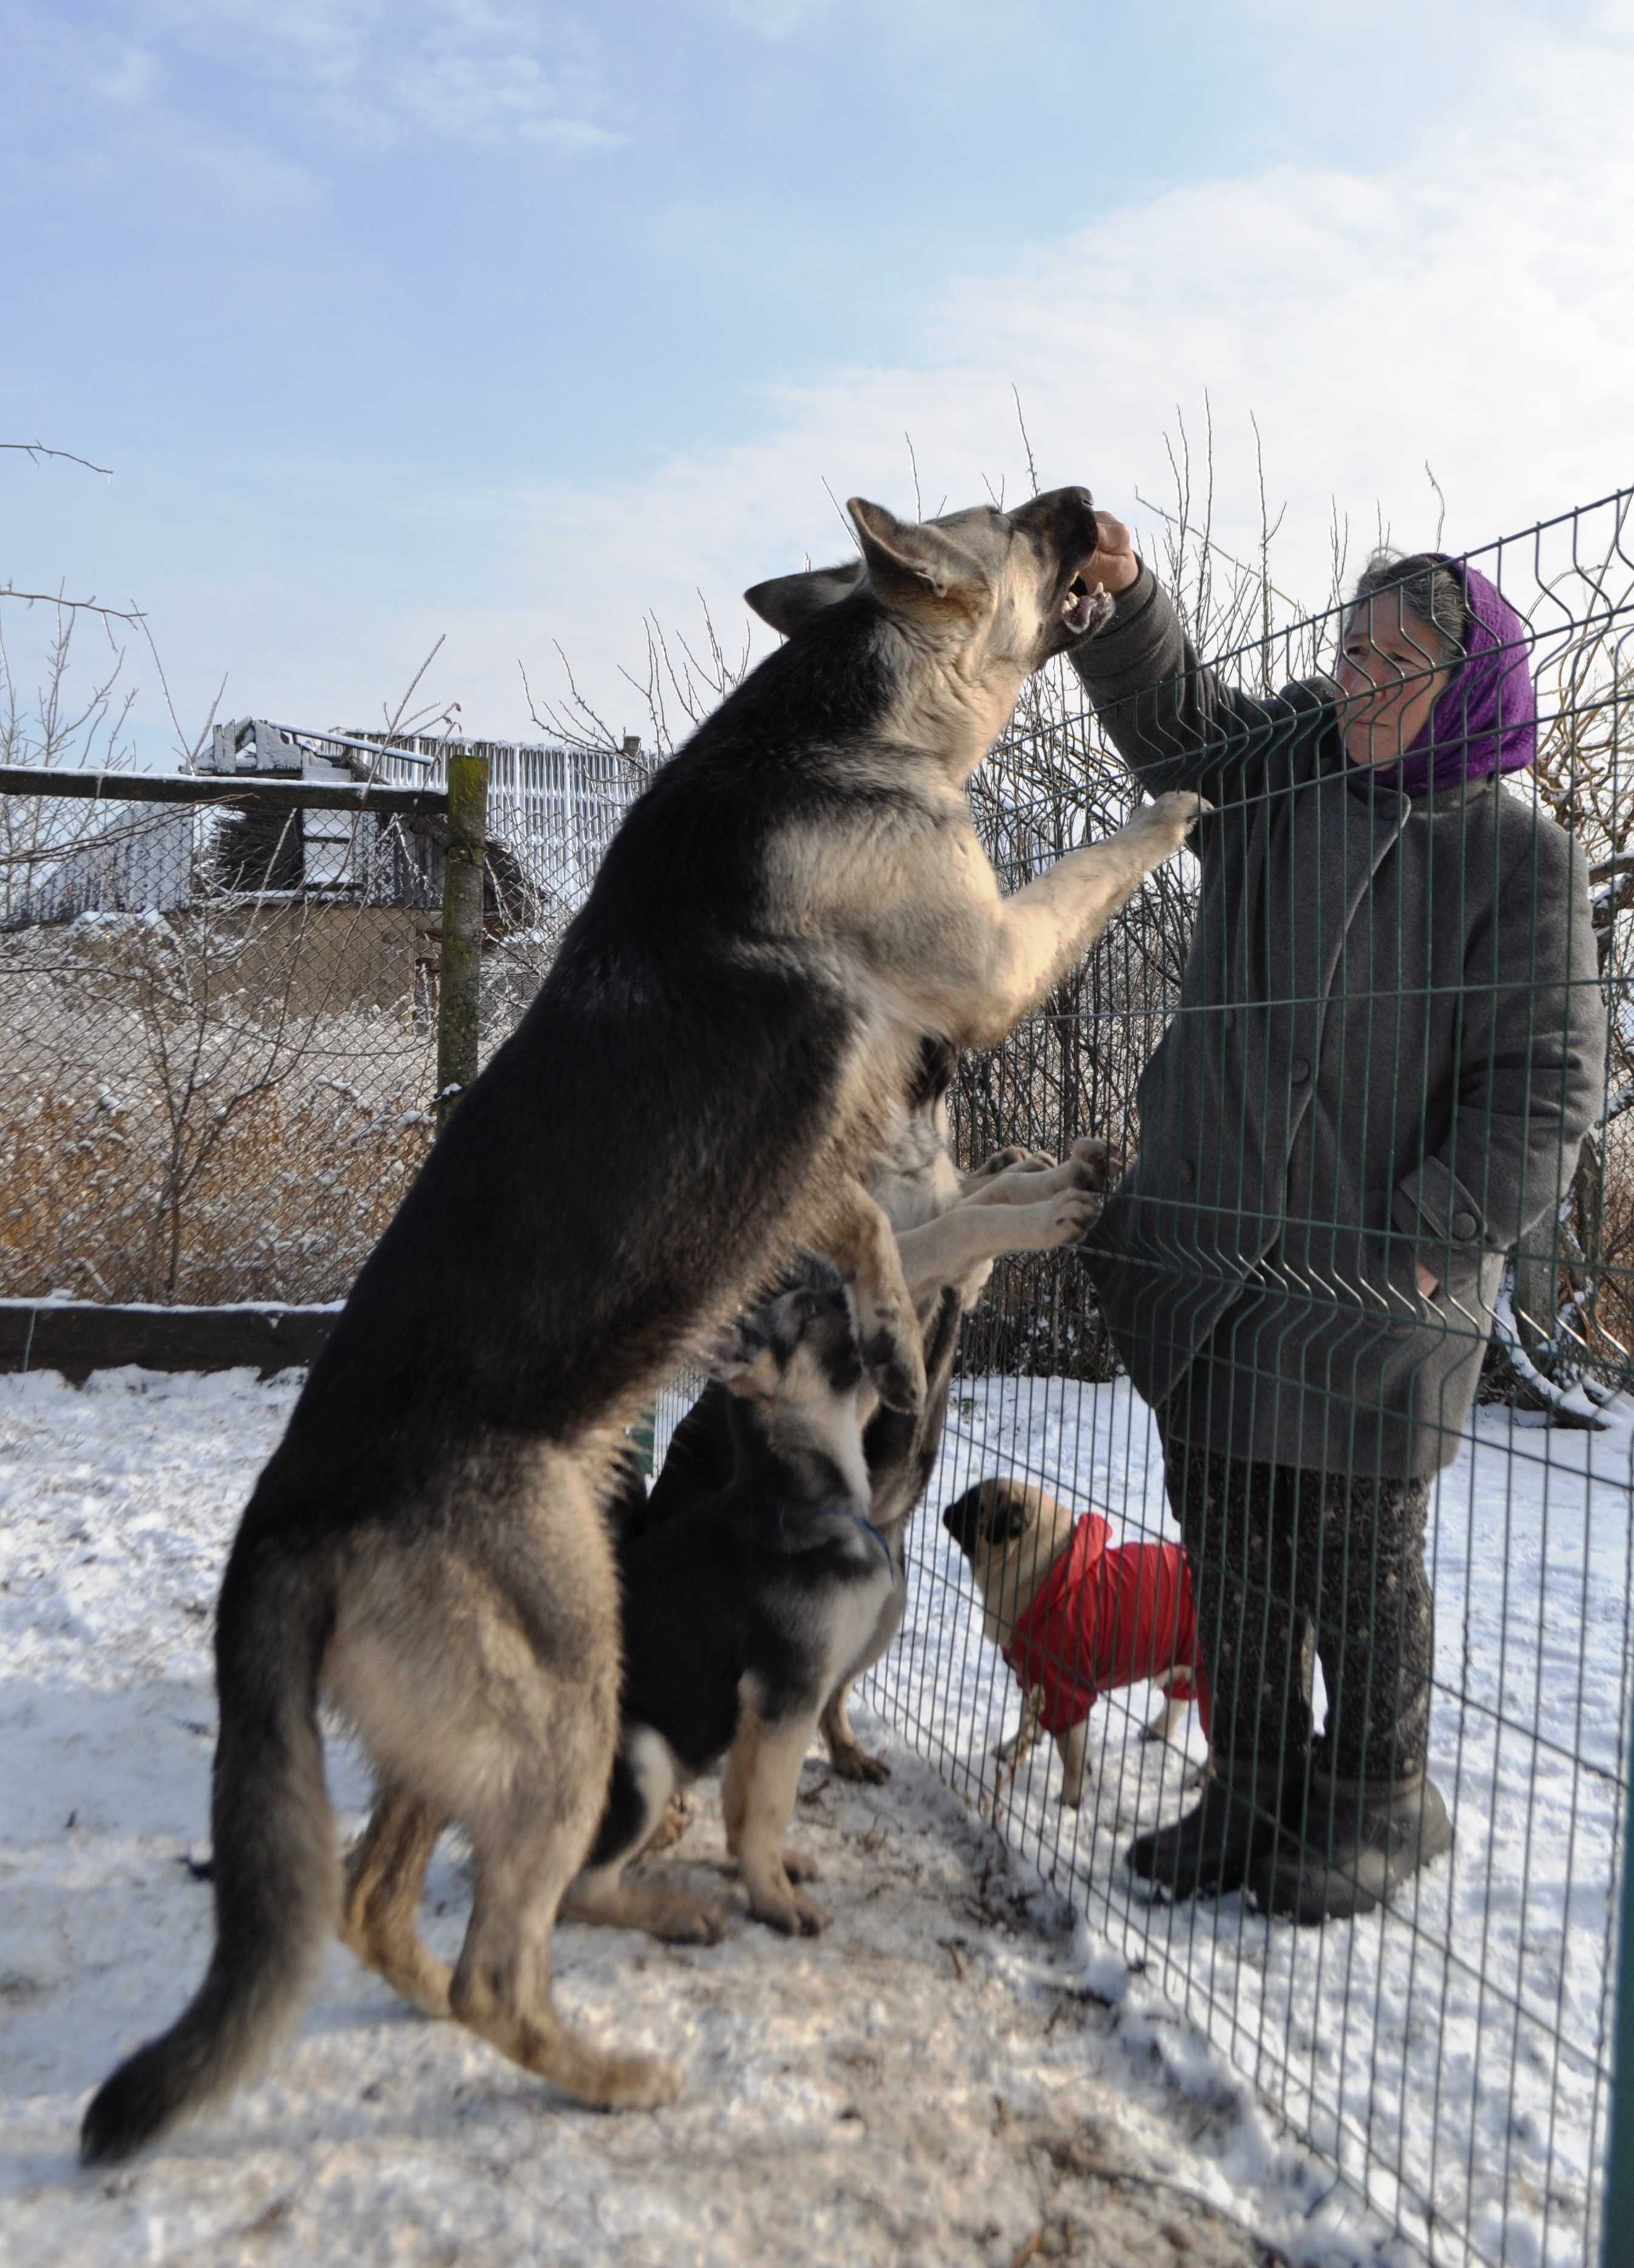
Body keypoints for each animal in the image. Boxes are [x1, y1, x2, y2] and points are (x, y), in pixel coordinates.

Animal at [939, 1469, 1207, 1805]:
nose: (947, 1509)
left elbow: (1072, 1753)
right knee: (1180, 1698)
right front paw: (1015, 1748)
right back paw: (1158, 1730)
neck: (1042, 1571)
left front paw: (1070, 1800)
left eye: (973, 1505)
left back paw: (1201, 1775)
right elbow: (1027, 1718)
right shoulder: (1034, 1675)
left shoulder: (1065, 1686)